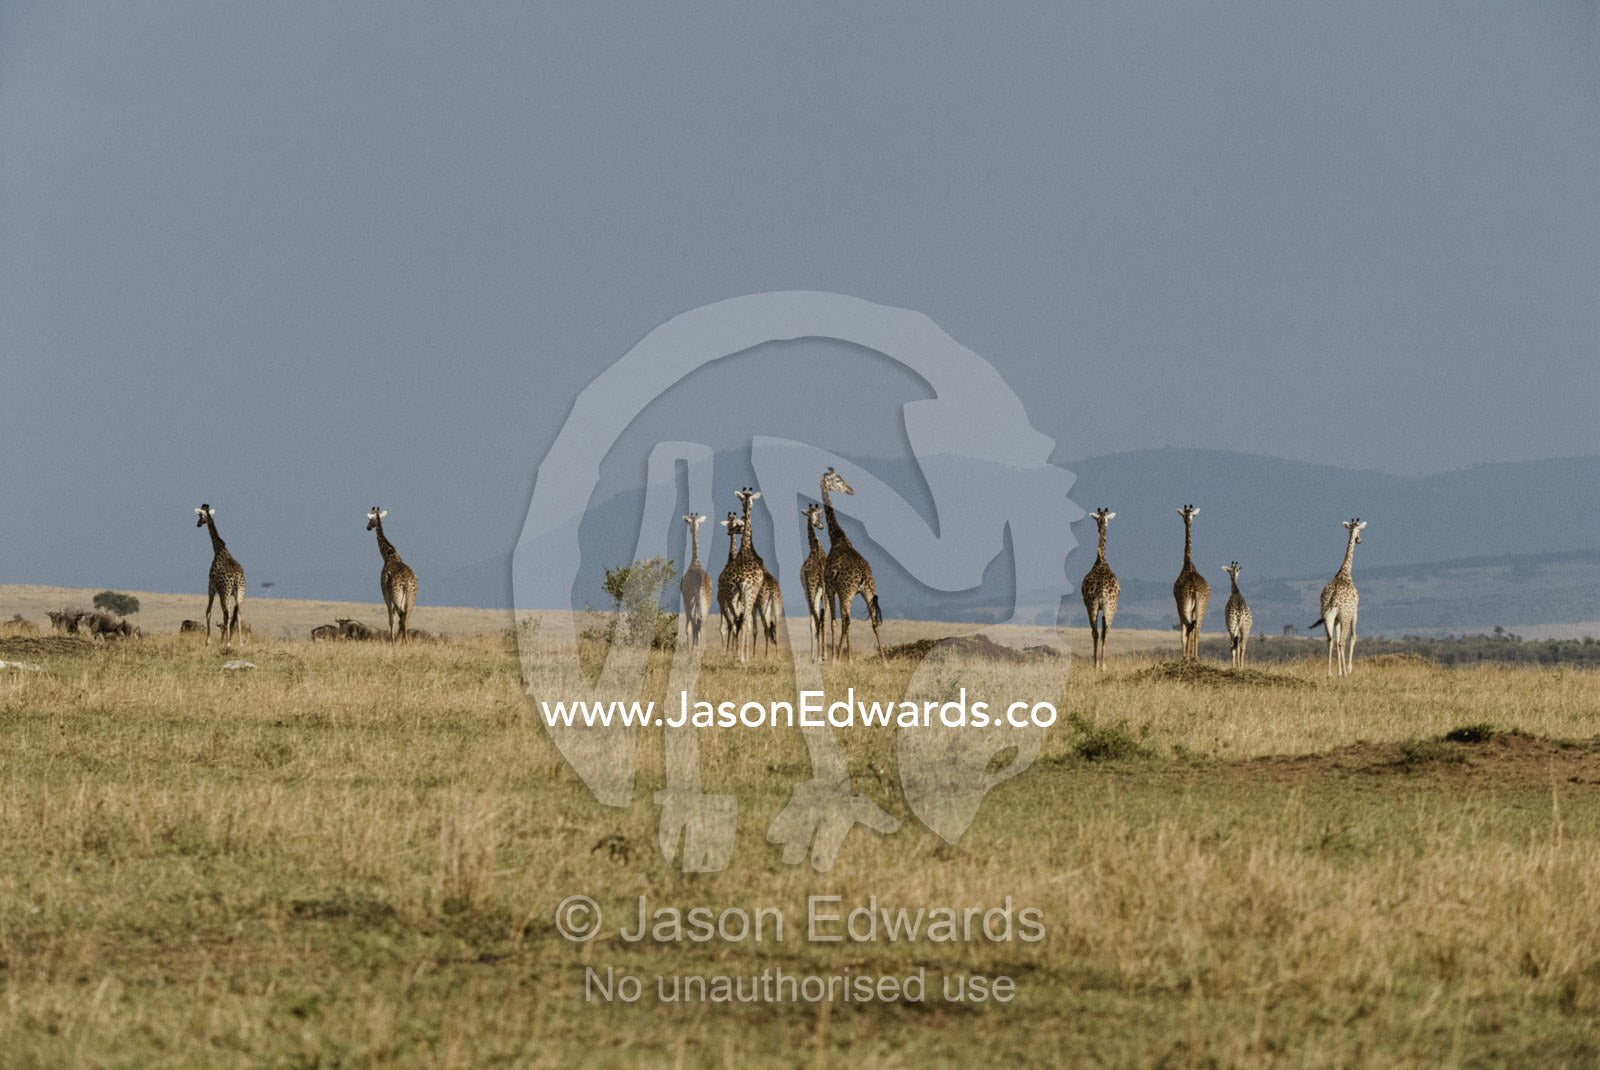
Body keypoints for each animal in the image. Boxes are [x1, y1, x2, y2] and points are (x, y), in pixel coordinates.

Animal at [195, 504, 245, 647]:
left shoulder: (211, 586)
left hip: (225, 592)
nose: (198, 524)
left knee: (227, 614)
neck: (218, 550)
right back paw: (240, 643)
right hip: (240, 592)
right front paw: (222, 640)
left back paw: (228, 643)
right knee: (238, 613)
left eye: (200, 516)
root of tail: (236, 578)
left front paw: (208, 642)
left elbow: (208, 612)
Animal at [366, 507, 419, 642]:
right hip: (411, 598)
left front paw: (392, 639)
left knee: (401, 617)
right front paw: (394, 639)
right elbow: (395, 617)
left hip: (397, 596)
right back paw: (406, 641)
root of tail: (406, 584)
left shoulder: (386, 593)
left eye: (370, 519)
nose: (367, 527)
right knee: (406, 617)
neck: (389, 556)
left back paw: (401, 640)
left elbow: (391, 617)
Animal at [678, 513, 713, 650]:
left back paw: (695, 649)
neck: (695, 561)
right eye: (692, 523)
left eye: (688, 522)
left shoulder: (687, 597)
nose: (692, 529)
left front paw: (689, 648)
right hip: (706, 601)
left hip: (695, 599)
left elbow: (689, 623)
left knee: (695, 621)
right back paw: (702, 648)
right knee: (702, 620)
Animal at [819, 467, 883, 661]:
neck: (837, 538)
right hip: (869, 591)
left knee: (846, 620)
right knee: (874, 621)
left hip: (847, 593)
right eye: (837, 479)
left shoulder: (831, 588)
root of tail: (863, 575)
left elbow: (833, 622)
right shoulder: (837, 591)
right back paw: (885, 661)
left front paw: (834, 658)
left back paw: (846, 659)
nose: (850, 490)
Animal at [1310, 518, 1365, 677]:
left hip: (1326, 617)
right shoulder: (1354, 613)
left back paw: (1329, 673)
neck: (1344, 573)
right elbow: (1353, 637)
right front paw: (1348, 670)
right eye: (1360, 530)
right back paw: (1345, 673)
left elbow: (1334, 639)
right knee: (1342, 641)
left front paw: (1339, 672)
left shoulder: (1336, 619)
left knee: (1330, 639)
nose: (1359, 540)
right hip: (1345, 617)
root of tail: (1333, 601)